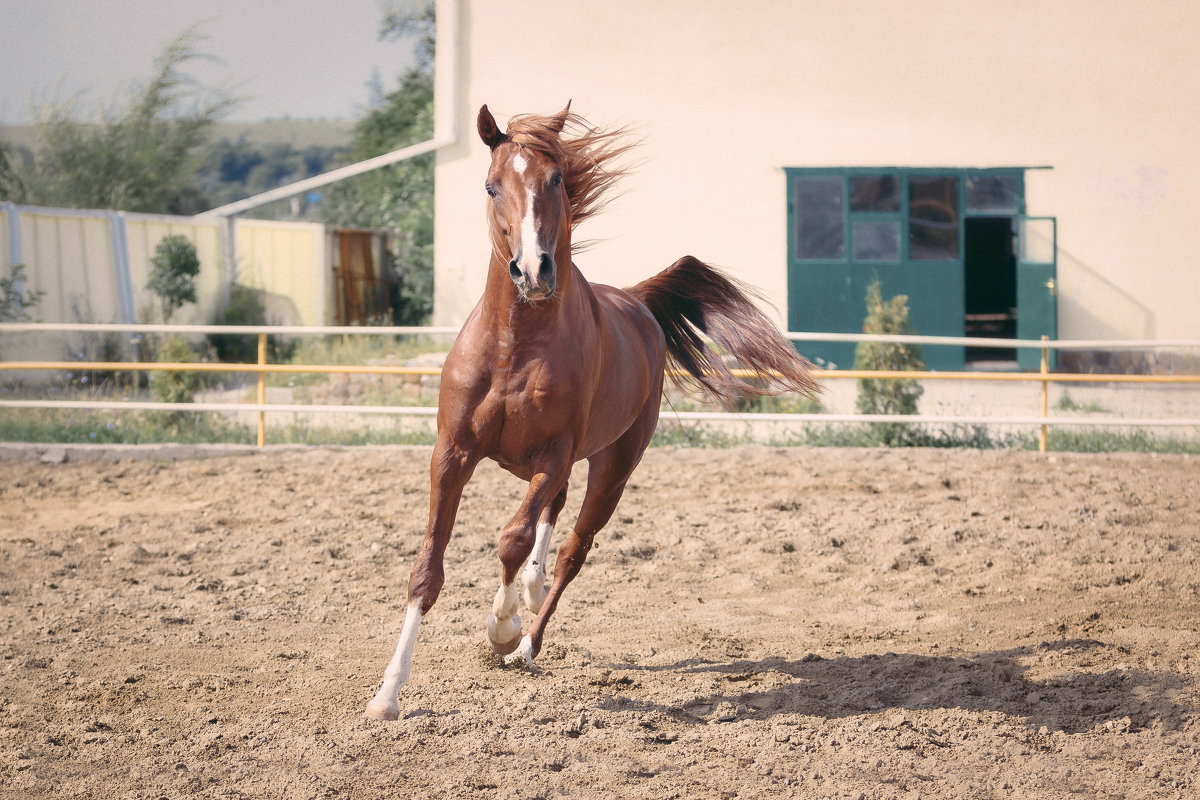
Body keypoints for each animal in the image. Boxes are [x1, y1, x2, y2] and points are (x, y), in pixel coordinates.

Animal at [362, 103, 816, 724]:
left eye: (556, 180)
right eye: (491, 185)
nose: (533, 271)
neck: (515, 345)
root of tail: (639, 301)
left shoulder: (555, 454)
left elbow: (511, 539)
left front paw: (503, 628)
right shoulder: (451, 455)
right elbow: (428, 568)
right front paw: (387, 693)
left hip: (612, 468)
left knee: (571, 550)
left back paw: (527, 642)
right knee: (550, 520)